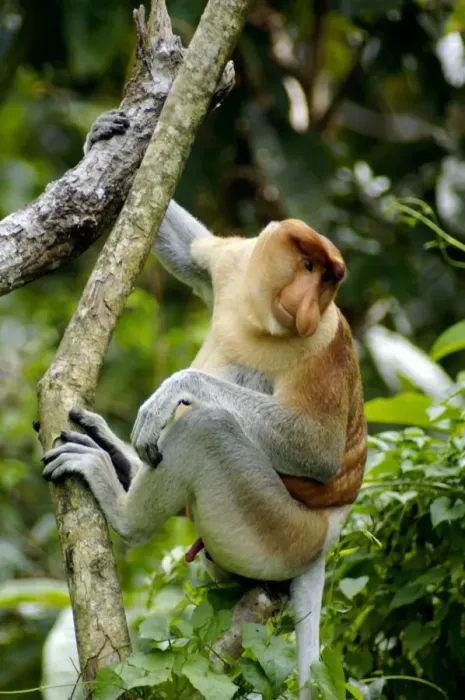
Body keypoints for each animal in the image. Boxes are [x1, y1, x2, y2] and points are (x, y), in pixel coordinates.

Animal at [42, 112, 367, 699]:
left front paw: (176, 390)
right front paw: (105, 133)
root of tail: (327, 535)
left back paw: (119, 500)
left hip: (279, 531)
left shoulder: (323, 343)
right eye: (309, 266)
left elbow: (320, 451)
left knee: (209, 430)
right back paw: (121, 458)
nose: (309, 305)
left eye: (328, 281)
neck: (260, 316)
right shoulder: (234, 264)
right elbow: (194, 253)